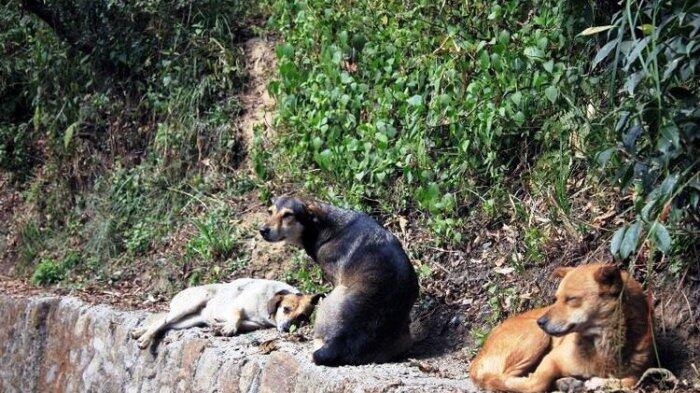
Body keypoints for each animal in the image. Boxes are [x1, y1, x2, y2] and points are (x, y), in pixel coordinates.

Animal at [130, 278, 322, 348]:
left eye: (302, 317)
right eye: (286, 309)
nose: (288, 328)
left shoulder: (256, 324)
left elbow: (243, 324)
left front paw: (219, 326)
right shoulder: (237, 306)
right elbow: (237, 315)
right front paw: (228, 328)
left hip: (188, 321)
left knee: (165, 323)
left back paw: (139, 332)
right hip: (191, 304)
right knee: (162, 321)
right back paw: (144, 338)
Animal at [260, 198, 418, 366]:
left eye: (288, 215)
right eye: (270, 212)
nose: (262, 230)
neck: (323, 225)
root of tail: (340, 343)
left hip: (326, 303)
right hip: (406, 338)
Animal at [468, 262, 652, 390]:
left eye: (571, 299)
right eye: (556, 299)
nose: (540, 322)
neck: (601, 344)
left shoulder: (636, 373)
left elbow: (629, 381)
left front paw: (597, 382)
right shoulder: (552, 358)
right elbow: (536, 384)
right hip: (537, 337)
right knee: (495, 379)